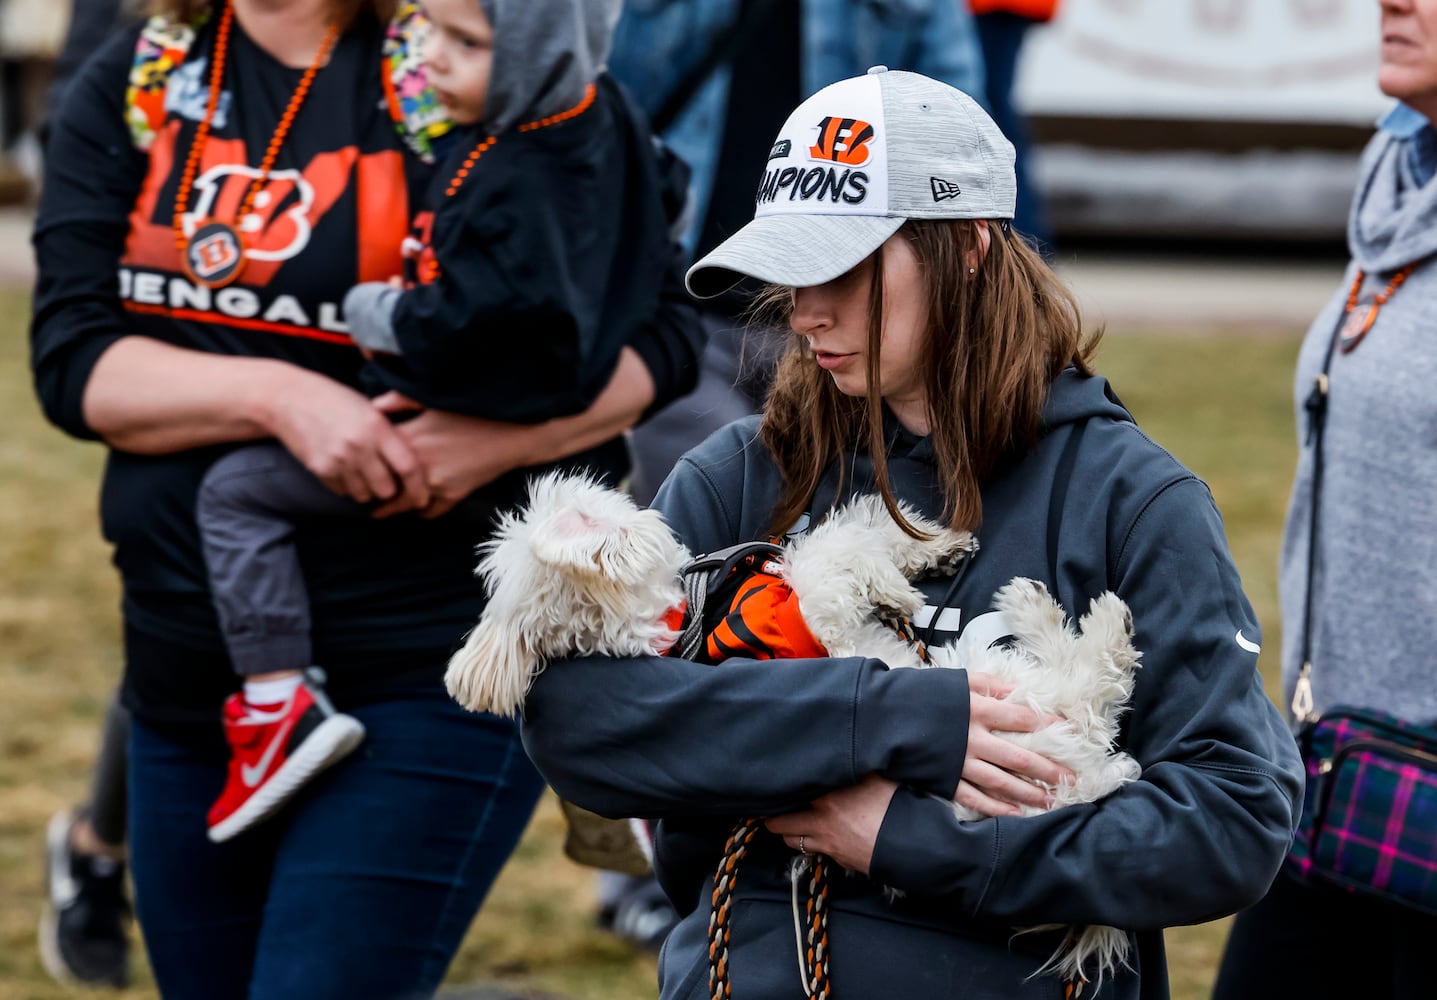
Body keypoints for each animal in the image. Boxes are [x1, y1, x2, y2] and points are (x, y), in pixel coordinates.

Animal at [448, 471, 1143, 982]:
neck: (686, 613)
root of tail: (1085, 782)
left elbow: (856, 528)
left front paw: (932, 546)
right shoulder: (813, 615)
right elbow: (831, 557)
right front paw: (899, 588)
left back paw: (1036, 607)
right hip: (1005, 691)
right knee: (1095, 688)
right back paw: (1077, 616)